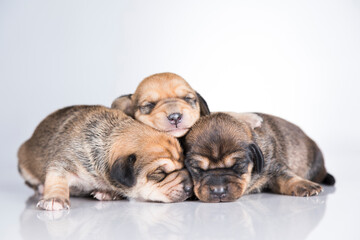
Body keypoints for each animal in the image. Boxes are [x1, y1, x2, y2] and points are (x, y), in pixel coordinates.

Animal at [19, 105, 194, 210]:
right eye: (160, 173)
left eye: (184, 165)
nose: (190, 188)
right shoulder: (65, 161)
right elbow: (57, 179)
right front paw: (55, 199)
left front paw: (109, 192)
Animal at [184, 112, 336, 202]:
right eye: (197, 169)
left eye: (238, 165)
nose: (218, 191)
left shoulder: (273, 165)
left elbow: (288, 177)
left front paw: (305, 185)